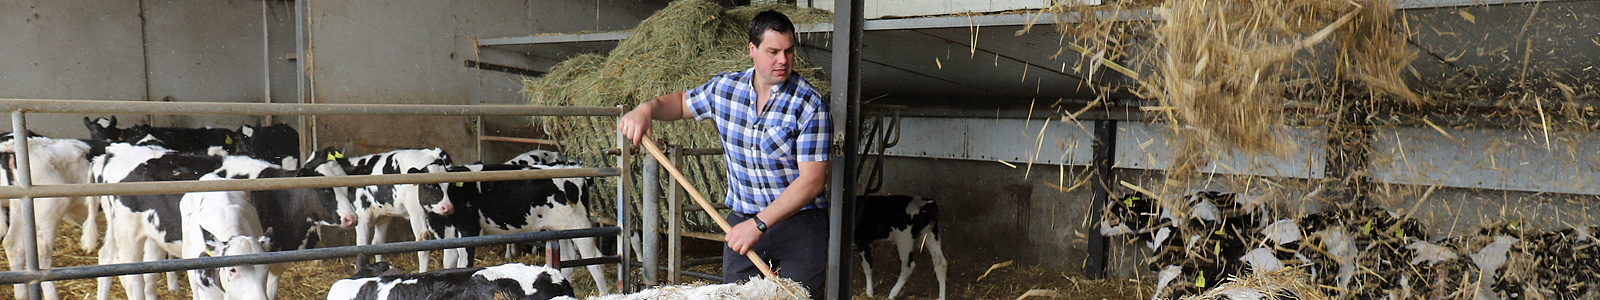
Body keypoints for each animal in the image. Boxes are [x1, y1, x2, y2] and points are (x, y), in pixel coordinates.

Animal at [432, 162, 611, 293]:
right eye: (432, 187)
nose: (445, 207)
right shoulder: (449, 236)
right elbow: (448, 263)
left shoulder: (469, 230)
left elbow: (464, 265)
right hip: (562, 227)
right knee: (568, 258)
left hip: (580, 225)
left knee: (595, 261)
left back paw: (603, 293)